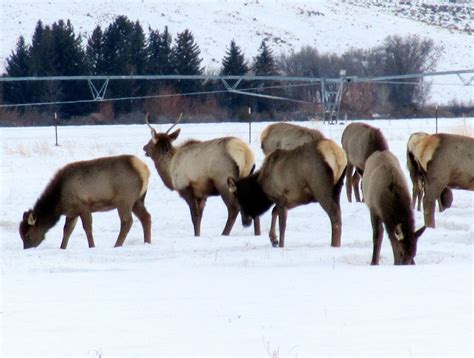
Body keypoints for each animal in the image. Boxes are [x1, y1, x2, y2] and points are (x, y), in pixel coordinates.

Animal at [19, 155, 150, 250]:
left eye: (28, 235)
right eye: (20, 235)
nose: (26, 249)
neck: (59, 201)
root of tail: (145, 170)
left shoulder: (83, 206)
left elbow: (87, 227)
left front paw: (92, 246)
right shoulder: (72, 213)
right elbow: (67, 231)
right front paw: (62, 248)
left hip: (124, 199)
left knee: (127, 221)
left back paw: (117, 245)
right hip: (137, 200)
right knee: (146, 217)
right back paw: (147, 242)